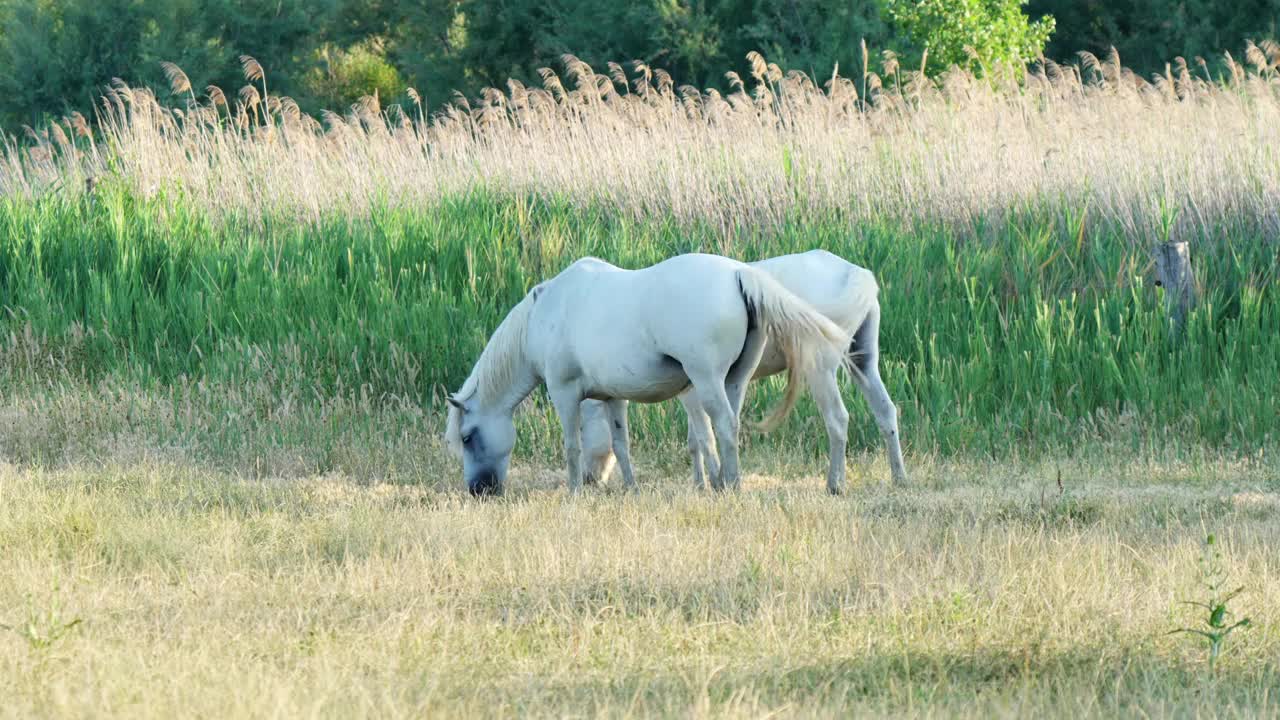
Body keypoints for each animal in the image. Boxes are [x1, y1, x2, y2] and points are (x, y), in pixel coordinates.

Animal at [445, 252, 855, 491]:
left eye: (467, 437)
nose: (479, 491)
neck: (542, 316)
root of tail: (739, 274)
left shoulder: (563, 393)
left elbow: (572, 446)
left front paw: (574, 492)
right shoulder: (612, 398)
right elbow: (620, 444)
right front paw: (631, 488)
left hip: (707, 381)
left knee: (724, 425)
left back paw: (732, 485)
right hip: (734, 381)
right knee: (732, 425)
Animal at [576, 249, 906, 489]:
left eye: (581, 429)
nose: (589, 480)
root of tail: (856, 273)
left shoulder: (693, 389)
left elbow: (702, 436)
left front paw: (711, 481)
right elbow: (695, 439)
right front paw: (702, 484)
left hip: (821, 368)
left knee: (837, 419)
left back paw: (835, 485)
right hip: (864, 362)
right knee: (885, 411)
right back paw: (899, 478)